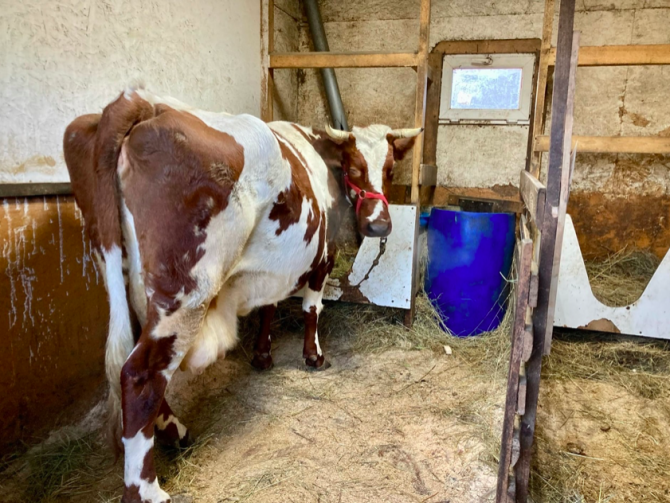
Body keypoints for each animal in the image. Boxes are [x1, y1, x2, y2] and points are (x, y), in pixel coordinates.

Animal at [63, 86, 421, 503]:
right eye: (354, 168)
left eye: (390, 169)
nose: (380, 225)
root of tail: (142, 100)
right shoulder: (322, 256)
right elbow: (312, 308)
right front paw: (314, 356)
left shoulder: (274, 267)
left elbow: (269, 307)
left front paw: (263, 356)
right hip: (184, 294)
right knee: (141, 374)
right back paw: (147, 489)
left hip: (124, 280)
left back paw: (175, 432)